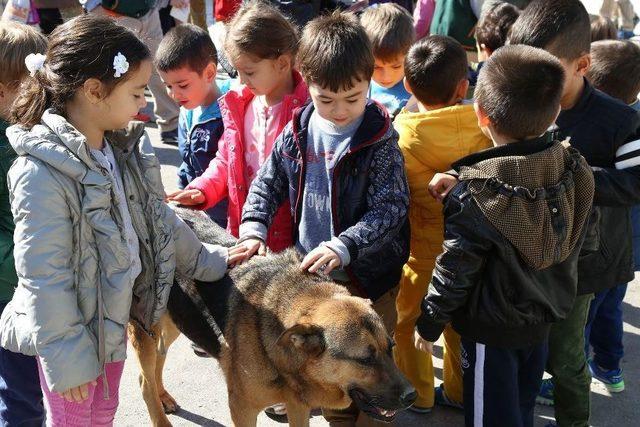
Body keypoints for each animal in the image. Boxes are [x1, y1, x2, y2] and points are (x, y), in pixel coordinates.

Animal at [132, 207, 418, 427]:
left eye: (391, 348)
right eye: (365, 359)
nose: (411, 396)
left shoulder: (298, 406)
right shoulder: (242, 410)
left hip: (172, 322)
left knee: (157, 362)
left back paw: (163, 396)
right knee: (144, 381)